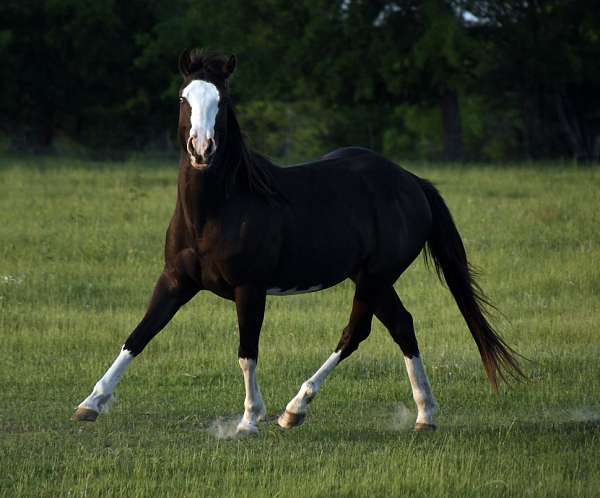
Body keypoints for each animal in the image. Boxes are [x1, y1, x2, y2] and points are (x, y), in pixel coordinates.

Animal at [72, 48, 520, 434]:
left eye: (223, 100)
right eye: (184, 98)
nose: (202, 149)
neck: (216, 210)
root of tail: (412, 182)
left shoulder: (249, 288)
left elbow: (247, 352)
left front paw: (249, 420)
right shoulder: (175, 282)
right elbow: (139, 335)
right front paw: (90, 404)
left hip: (375, 277)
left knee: (357, 332)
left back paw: (296, 409)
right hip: (370, 278)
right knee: (400, 326)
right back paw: (422, 414)